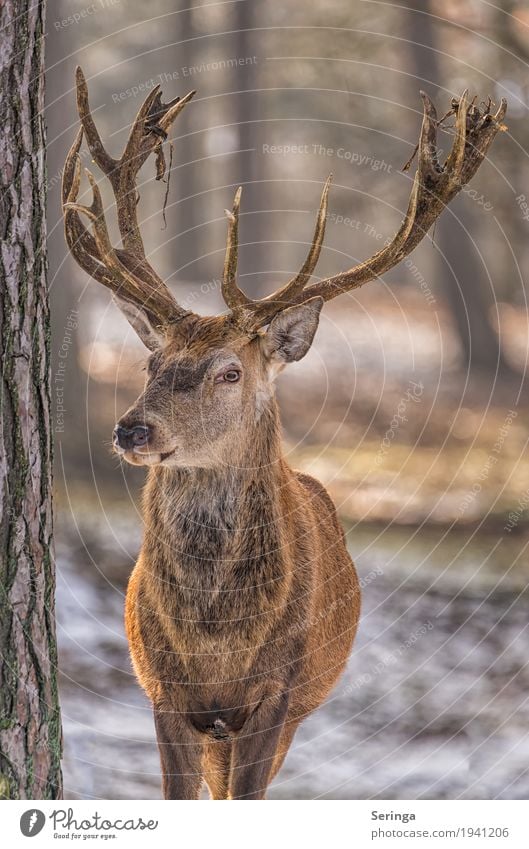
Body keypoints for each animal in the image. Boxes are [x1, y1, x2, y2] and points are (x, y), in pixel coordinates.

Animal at [62, 66, 504, 796]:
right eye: (152, 362)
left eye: (230, 371)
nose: (131, 430)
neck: (217, 642)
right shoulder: (161, 690)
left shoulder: (277, 692)